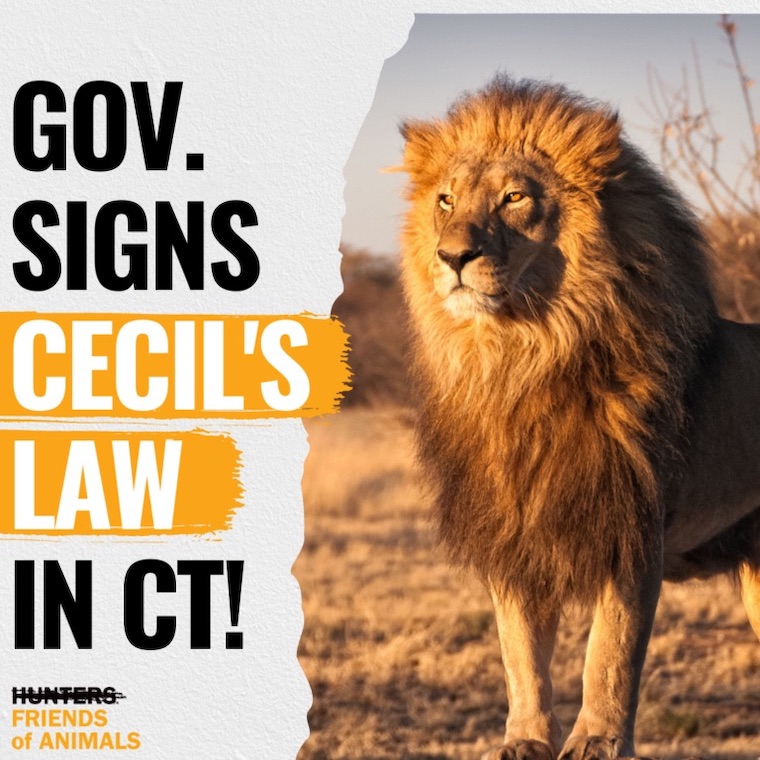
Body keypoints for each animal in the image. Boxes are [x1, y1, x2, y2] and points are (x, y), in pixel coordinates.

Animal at [397, 75, 760, 760]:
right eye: (446, 200)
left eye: (514, 197)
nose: (452, 255)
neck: (522, 360)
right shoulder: (512, 530)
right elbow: (520, 654)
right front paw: (524, 740)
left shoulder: (634, 527)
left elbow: (609, 652)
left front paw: (598, 739)